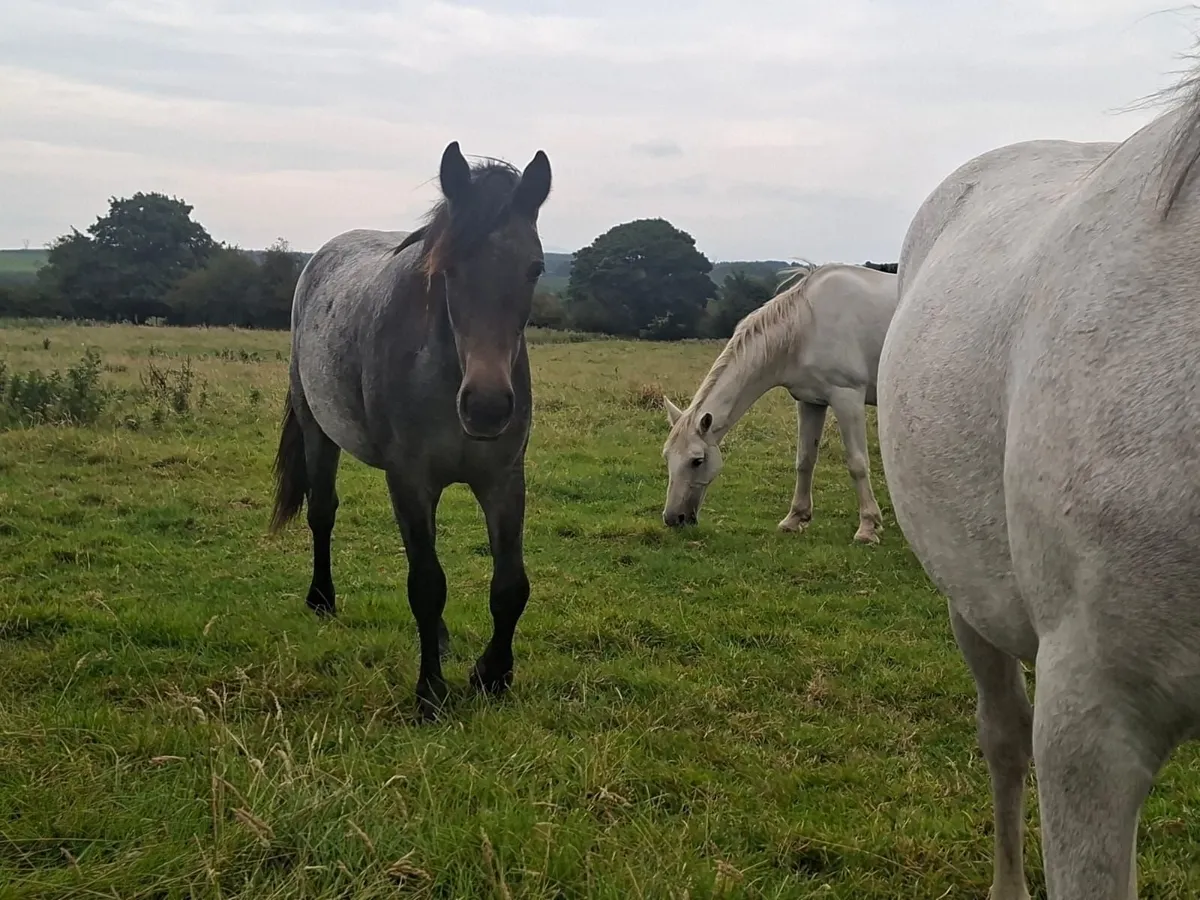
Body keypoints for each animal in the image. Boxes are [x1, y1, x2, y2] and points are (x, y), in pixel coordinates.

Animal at [268, 141, 552, 719]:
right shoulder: (410, 480)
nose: (487, 406)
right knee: (322, 512)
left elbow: (510, 585)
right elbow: (425, 584)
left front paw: (493, 675)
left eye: (534, 268)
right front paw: (431, 692)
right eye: (448, 269)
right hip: (317, 431)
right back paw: (321, 599)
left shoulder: (503, 479)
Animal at [661, 263, 898, 543]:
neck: (805, 326)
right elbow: (805, 460)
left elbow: (857, 463)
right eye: (667, 456)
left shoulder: (847, 398)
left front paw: (868, 527)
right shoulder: (810, 402)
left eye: (697, 460)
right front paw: (795, 519)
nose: (673, 518)